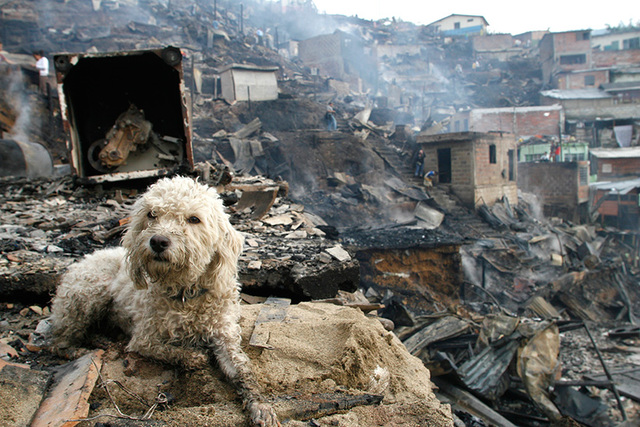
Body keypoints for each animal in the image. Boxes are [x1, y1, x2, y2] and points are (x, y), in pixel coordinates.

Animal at [50, 176, 280, 426]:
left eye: (194, 219)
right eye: (152, 214)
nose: (158, 241)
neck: (186, 294)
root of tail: (82, 260)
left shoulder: (225, 337)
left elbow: (244, 372)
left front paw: (261, 407)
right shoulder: (143, 339)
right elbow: (169, 350)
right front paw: (193, 356)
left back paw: (101, 340)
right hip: (87, 294)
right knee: (58, 341)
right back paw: (80, 350)